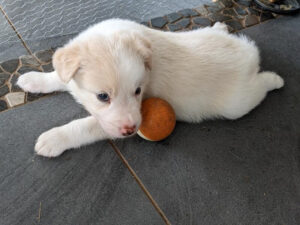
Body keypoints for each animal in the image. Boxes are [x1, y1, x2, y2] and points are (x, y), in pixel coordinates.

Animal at [17, 18, 284, 156]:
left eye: (138, 91)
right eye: (102, 96)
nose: (131, 130)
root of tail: (249, 53)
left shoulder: (117, 121)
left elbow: (87, 125)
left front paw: (54, 139)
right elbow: (58, 77)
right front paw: (33, 79)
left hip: (238, 103)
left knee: (259, 88)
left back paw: (275, 79)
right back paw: (220, 26)